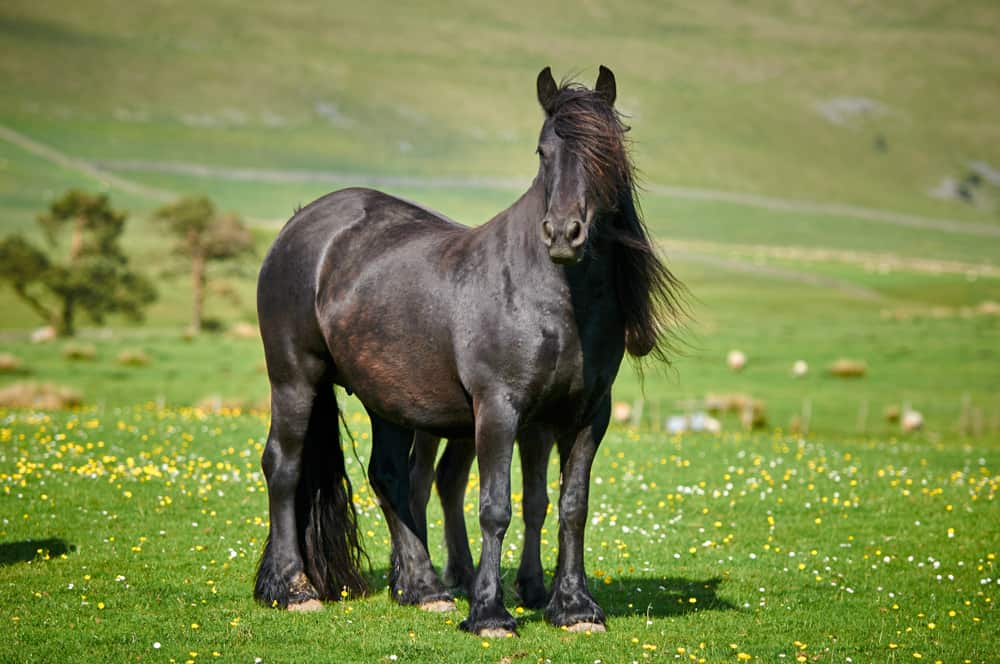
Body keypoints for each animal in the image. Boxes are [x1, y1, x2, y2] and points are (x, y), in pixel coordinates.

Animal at [254, 65, 685, 636]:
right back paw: (293, 588)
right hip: (295, 378)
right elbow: (496, 507)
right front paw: (489, 612)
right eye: (543, 150)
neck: (551, 295)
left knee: (389, 476)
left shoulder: (587, 416)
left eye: (606, 152)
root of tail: (301, 223)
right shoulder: (499, 410)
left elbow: (572, 506)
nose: (563, 233)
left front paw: (574, 607)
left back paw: (423, 588)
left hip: (387, 399)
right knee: (284, 466)